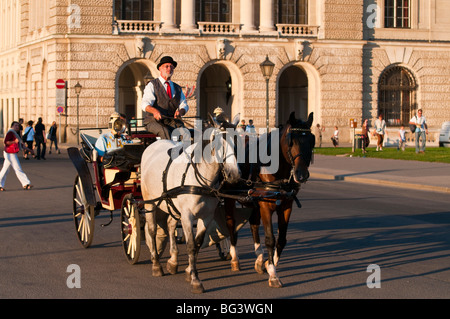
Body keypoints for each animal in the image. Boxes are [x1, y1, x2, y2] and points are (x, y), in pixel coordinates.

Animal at [141, 115, 241, 296]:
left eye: (237, 141)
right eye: (218, 143)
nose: (234, 175)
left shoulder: (206, 216)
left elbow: (198, 243)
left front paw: (189, 271)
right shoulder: (187, 215)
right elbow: (191, 245)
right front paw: (195, 279)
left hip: (171, 205)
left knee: (170, 225)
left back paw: (173, 261)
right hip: (150, 202)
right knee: (151, 230)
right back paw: (156, 264)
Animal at [223, 112, 314, 288]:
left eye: (312, 141)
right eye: (291, 141)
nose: (301, 175)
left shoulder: (286, 206)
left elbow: (282, 239)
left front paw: (267, 263)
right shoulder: (265, 206)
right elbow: (270, 238)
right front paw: (273, 274)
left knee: (253, 225)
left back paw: (259, 258)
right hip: (229, 198)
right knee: (230, 225)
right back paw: (235, 257)